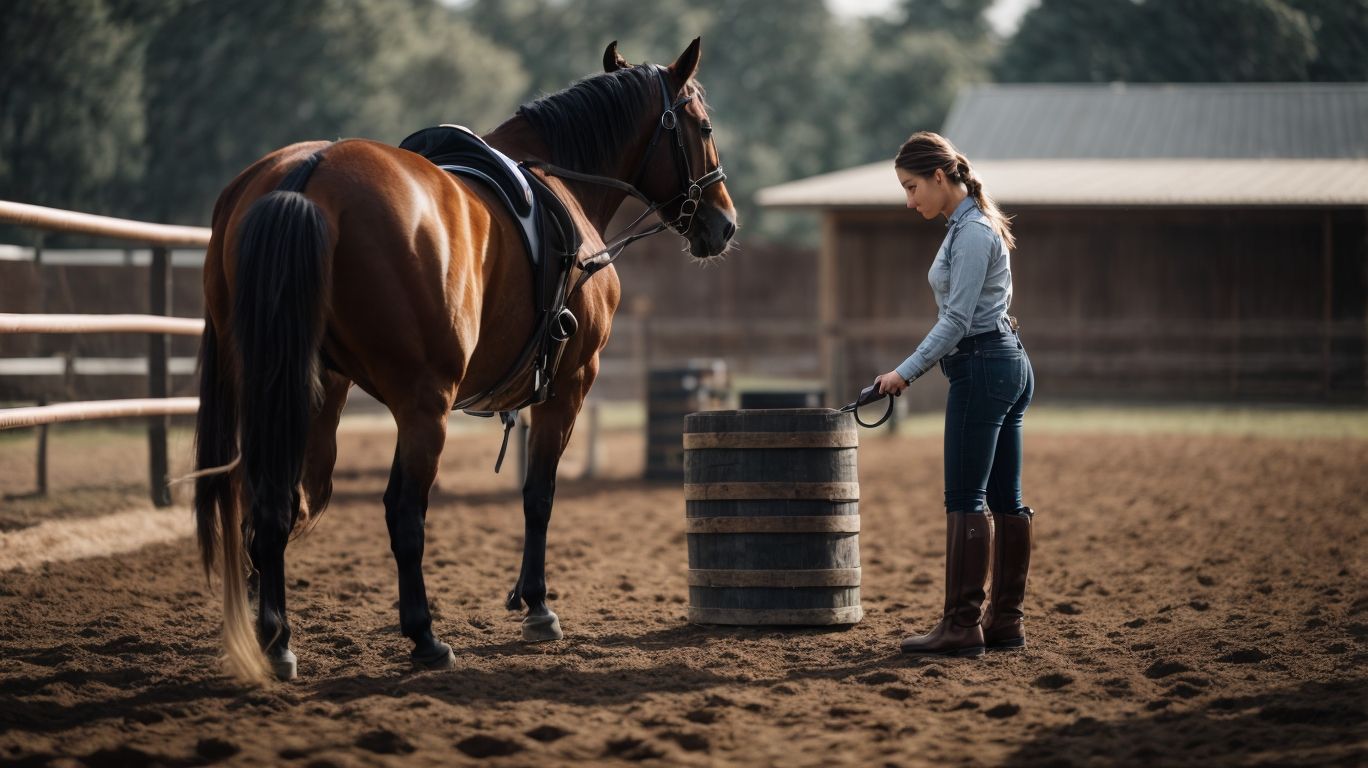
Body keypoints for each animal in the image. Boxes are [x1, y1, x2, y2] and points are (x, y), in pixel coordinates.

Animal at [193, 38, 736, 683]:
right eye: (703, 126)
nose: (725, 223)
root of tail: (309, 172)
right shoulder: (568, 386)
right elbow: (538, 496)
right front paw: (537, 606)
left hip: (300, 391)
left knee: (275, 499)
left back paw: (275, 638)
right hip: (422, 404)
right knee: (404, 514)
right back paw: (423, 637)